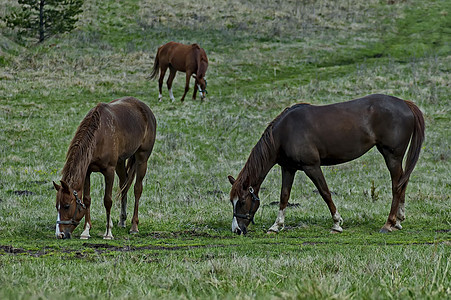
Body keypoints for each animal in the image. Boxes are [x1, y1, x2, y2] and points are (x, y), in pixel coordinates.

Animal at [53, 97, 157, 240]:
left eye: (67, 206)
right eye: (56, 206)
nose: (60, 234)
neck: (99, 136)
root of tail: (146, 109)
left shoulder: (109, 171)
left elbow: (107, 200)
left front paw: (108, 232)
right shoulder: (87, 171)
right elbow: (87, 199)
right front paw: (86, 230)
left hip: (142, 159)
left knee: (137, 189)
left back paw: (134, 226)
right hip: (120, 162)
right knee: (124, 185)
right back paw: (122, 220)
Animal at [228, 95, 426, 236]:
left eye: (243, 201)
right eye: (232, 201)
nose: (236, 230)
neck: (285, 132)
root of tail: (405, 104)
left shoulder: (312, 166)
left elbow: (325, 193)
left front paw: (337, 223)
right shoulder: (288, 168)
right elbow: (284, 196)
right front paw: (276, 226)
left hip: (392, 156)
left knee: (396, 186)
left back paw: (389, 223)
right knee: (402, 183)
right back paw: (398, 220)